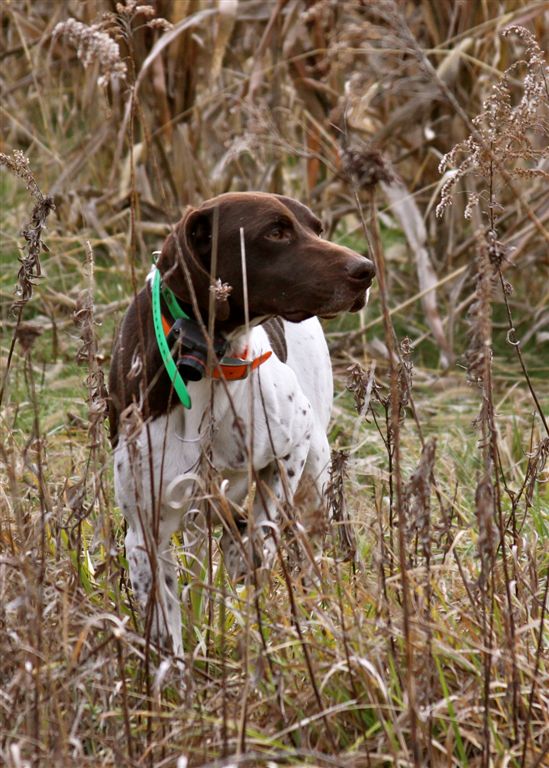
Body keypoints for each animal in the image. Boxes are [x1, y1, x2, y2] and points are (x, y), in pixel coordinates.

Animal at [108, 192, 372, 660]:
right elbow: (167, 635)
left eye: (316, 228)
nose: (366, 270)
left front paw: (244, 555)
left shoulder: (292, 446)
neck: (210, 362)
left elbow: (260, 529)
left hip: (316, 482)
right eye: (275, 232)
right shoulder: (144, 536)